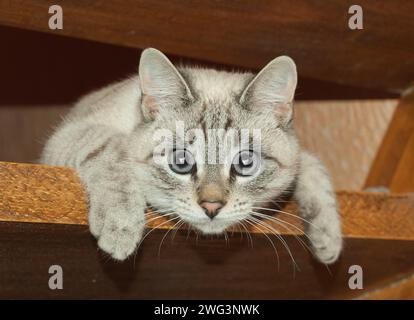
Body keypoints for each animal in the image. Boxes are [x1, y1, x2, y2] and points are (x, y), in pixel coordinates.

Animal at [40, 47, 342, 262]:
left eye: (245, 163)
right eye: (181, 163)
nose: (212, 207)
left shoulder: (300, 156)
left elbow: (313, 167)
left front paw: (329, 241)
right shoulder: (68, 135)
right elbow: (114, 149)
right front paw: (121, 228)